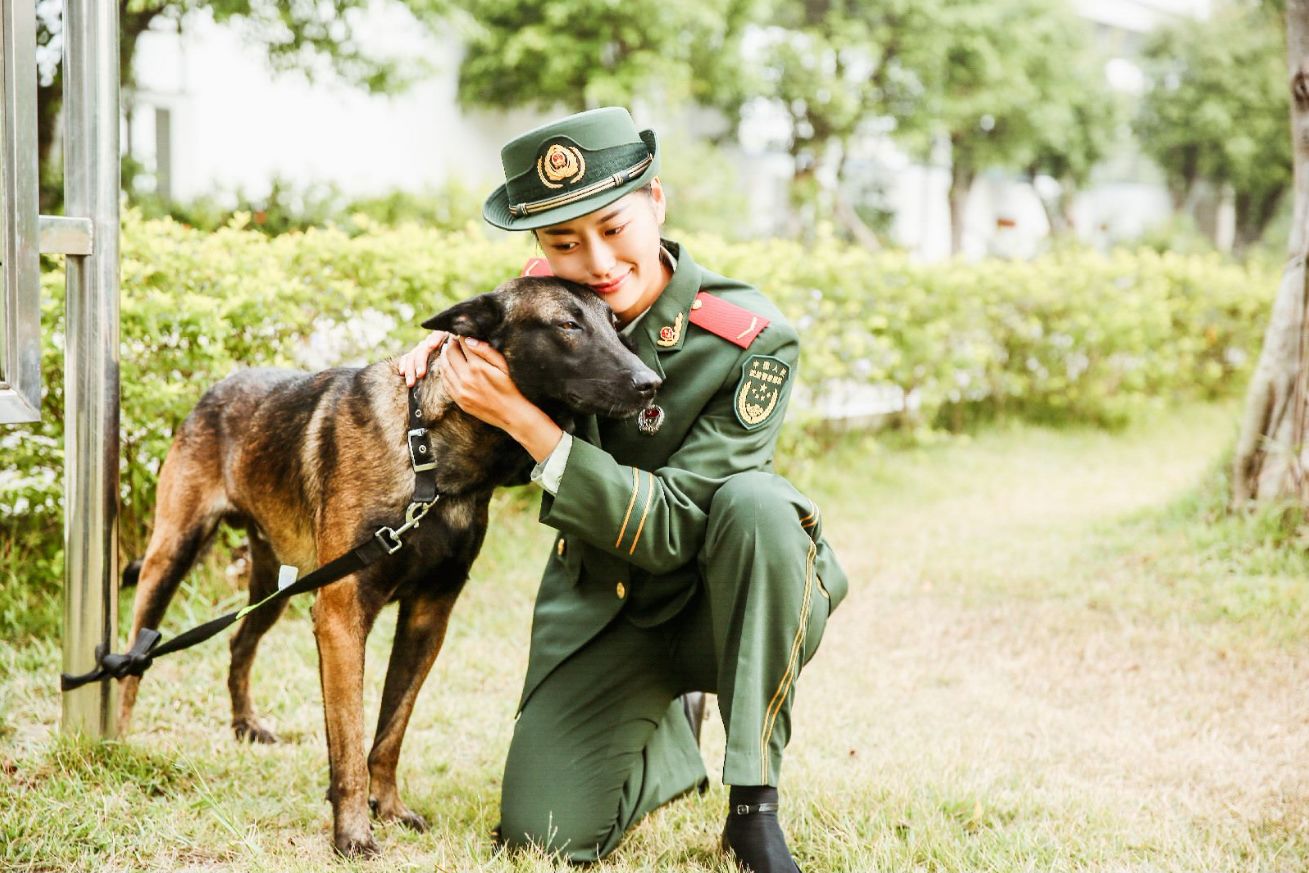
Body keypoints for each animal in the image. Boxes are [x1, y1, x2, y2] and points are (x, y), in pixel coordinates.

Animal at [117, 276, 659, 858]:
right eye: (567, 325)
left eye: (616, 325)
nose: (651, 384)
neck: (429, 456)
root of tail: (220, 385)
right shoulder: (340, 615)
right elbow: (350, 742)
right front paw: (353, 832)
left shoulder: (427, 617)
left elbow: (390, 731)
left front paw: (391, 808)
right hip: (172, 557)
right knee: (134, 657)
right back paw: (116, 740)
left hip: (276, 586)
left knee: (240, 642)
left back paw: (245, 725)